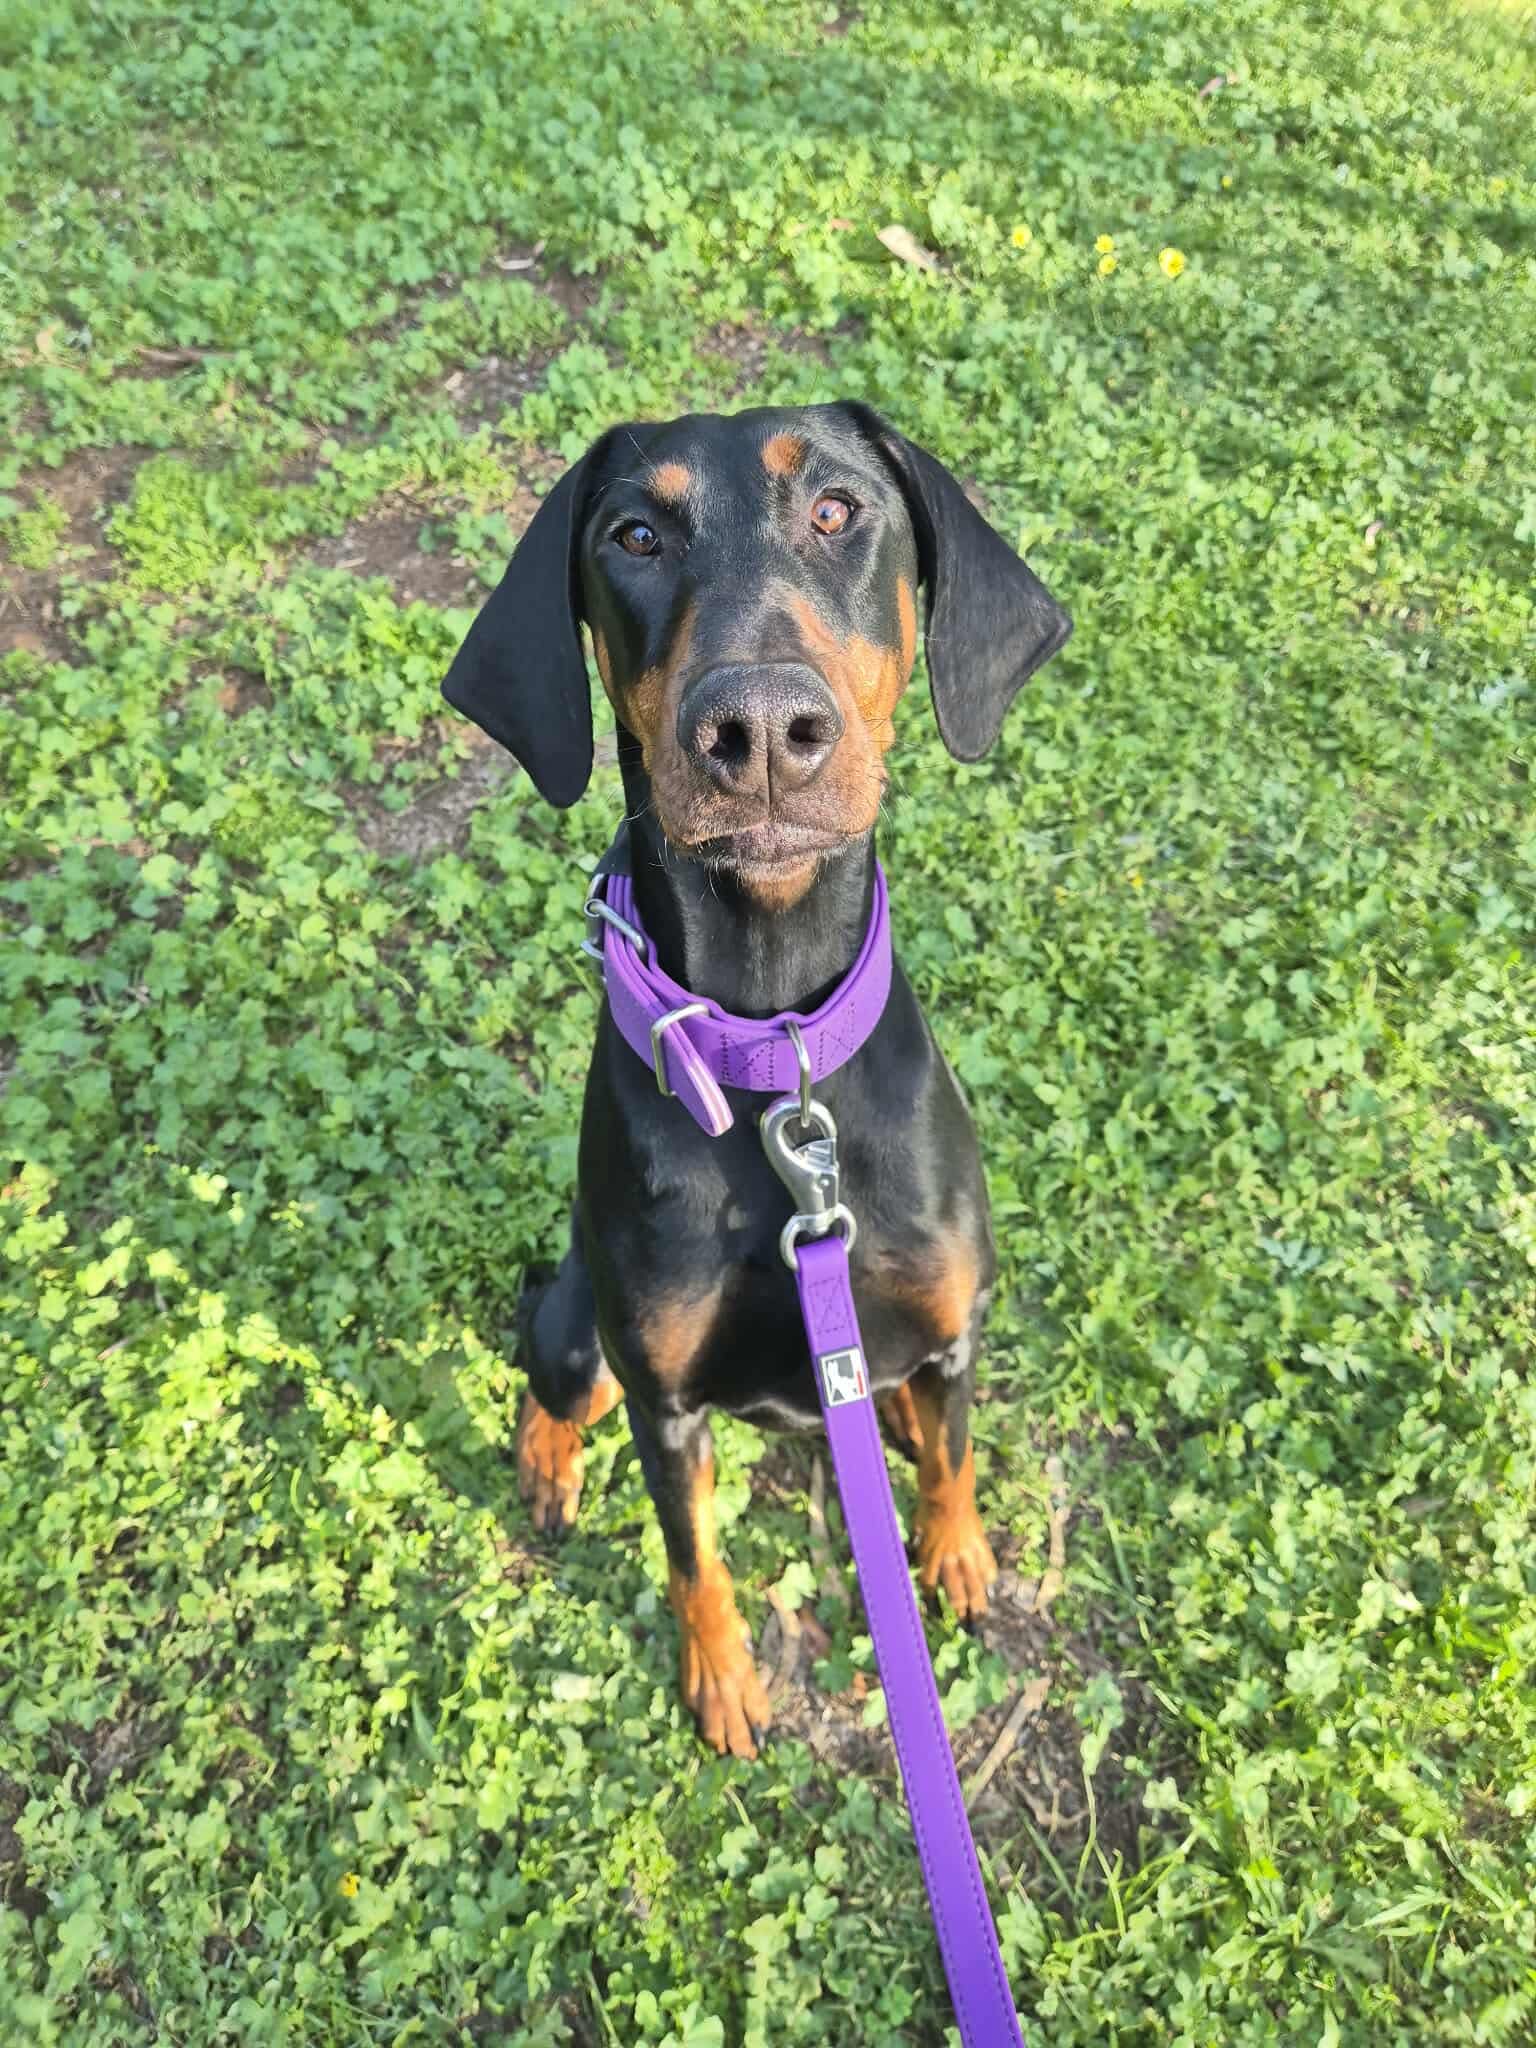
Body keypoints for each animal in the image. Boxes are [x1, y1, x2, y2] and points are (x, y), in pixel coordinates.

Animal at [442, 402, 1071, 1758]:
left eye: (838, 508)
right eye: (633, 533)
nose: (763, 728)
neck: (776, 1060)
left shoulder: (952, 1327)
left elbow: (956, 1459)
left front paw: (958, 1557)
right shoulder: (667, 1399)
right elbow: (693, 1556)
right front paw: (723, 1677)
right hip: (583, 1322)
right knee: (552, 1375)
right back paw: (548, 1464)